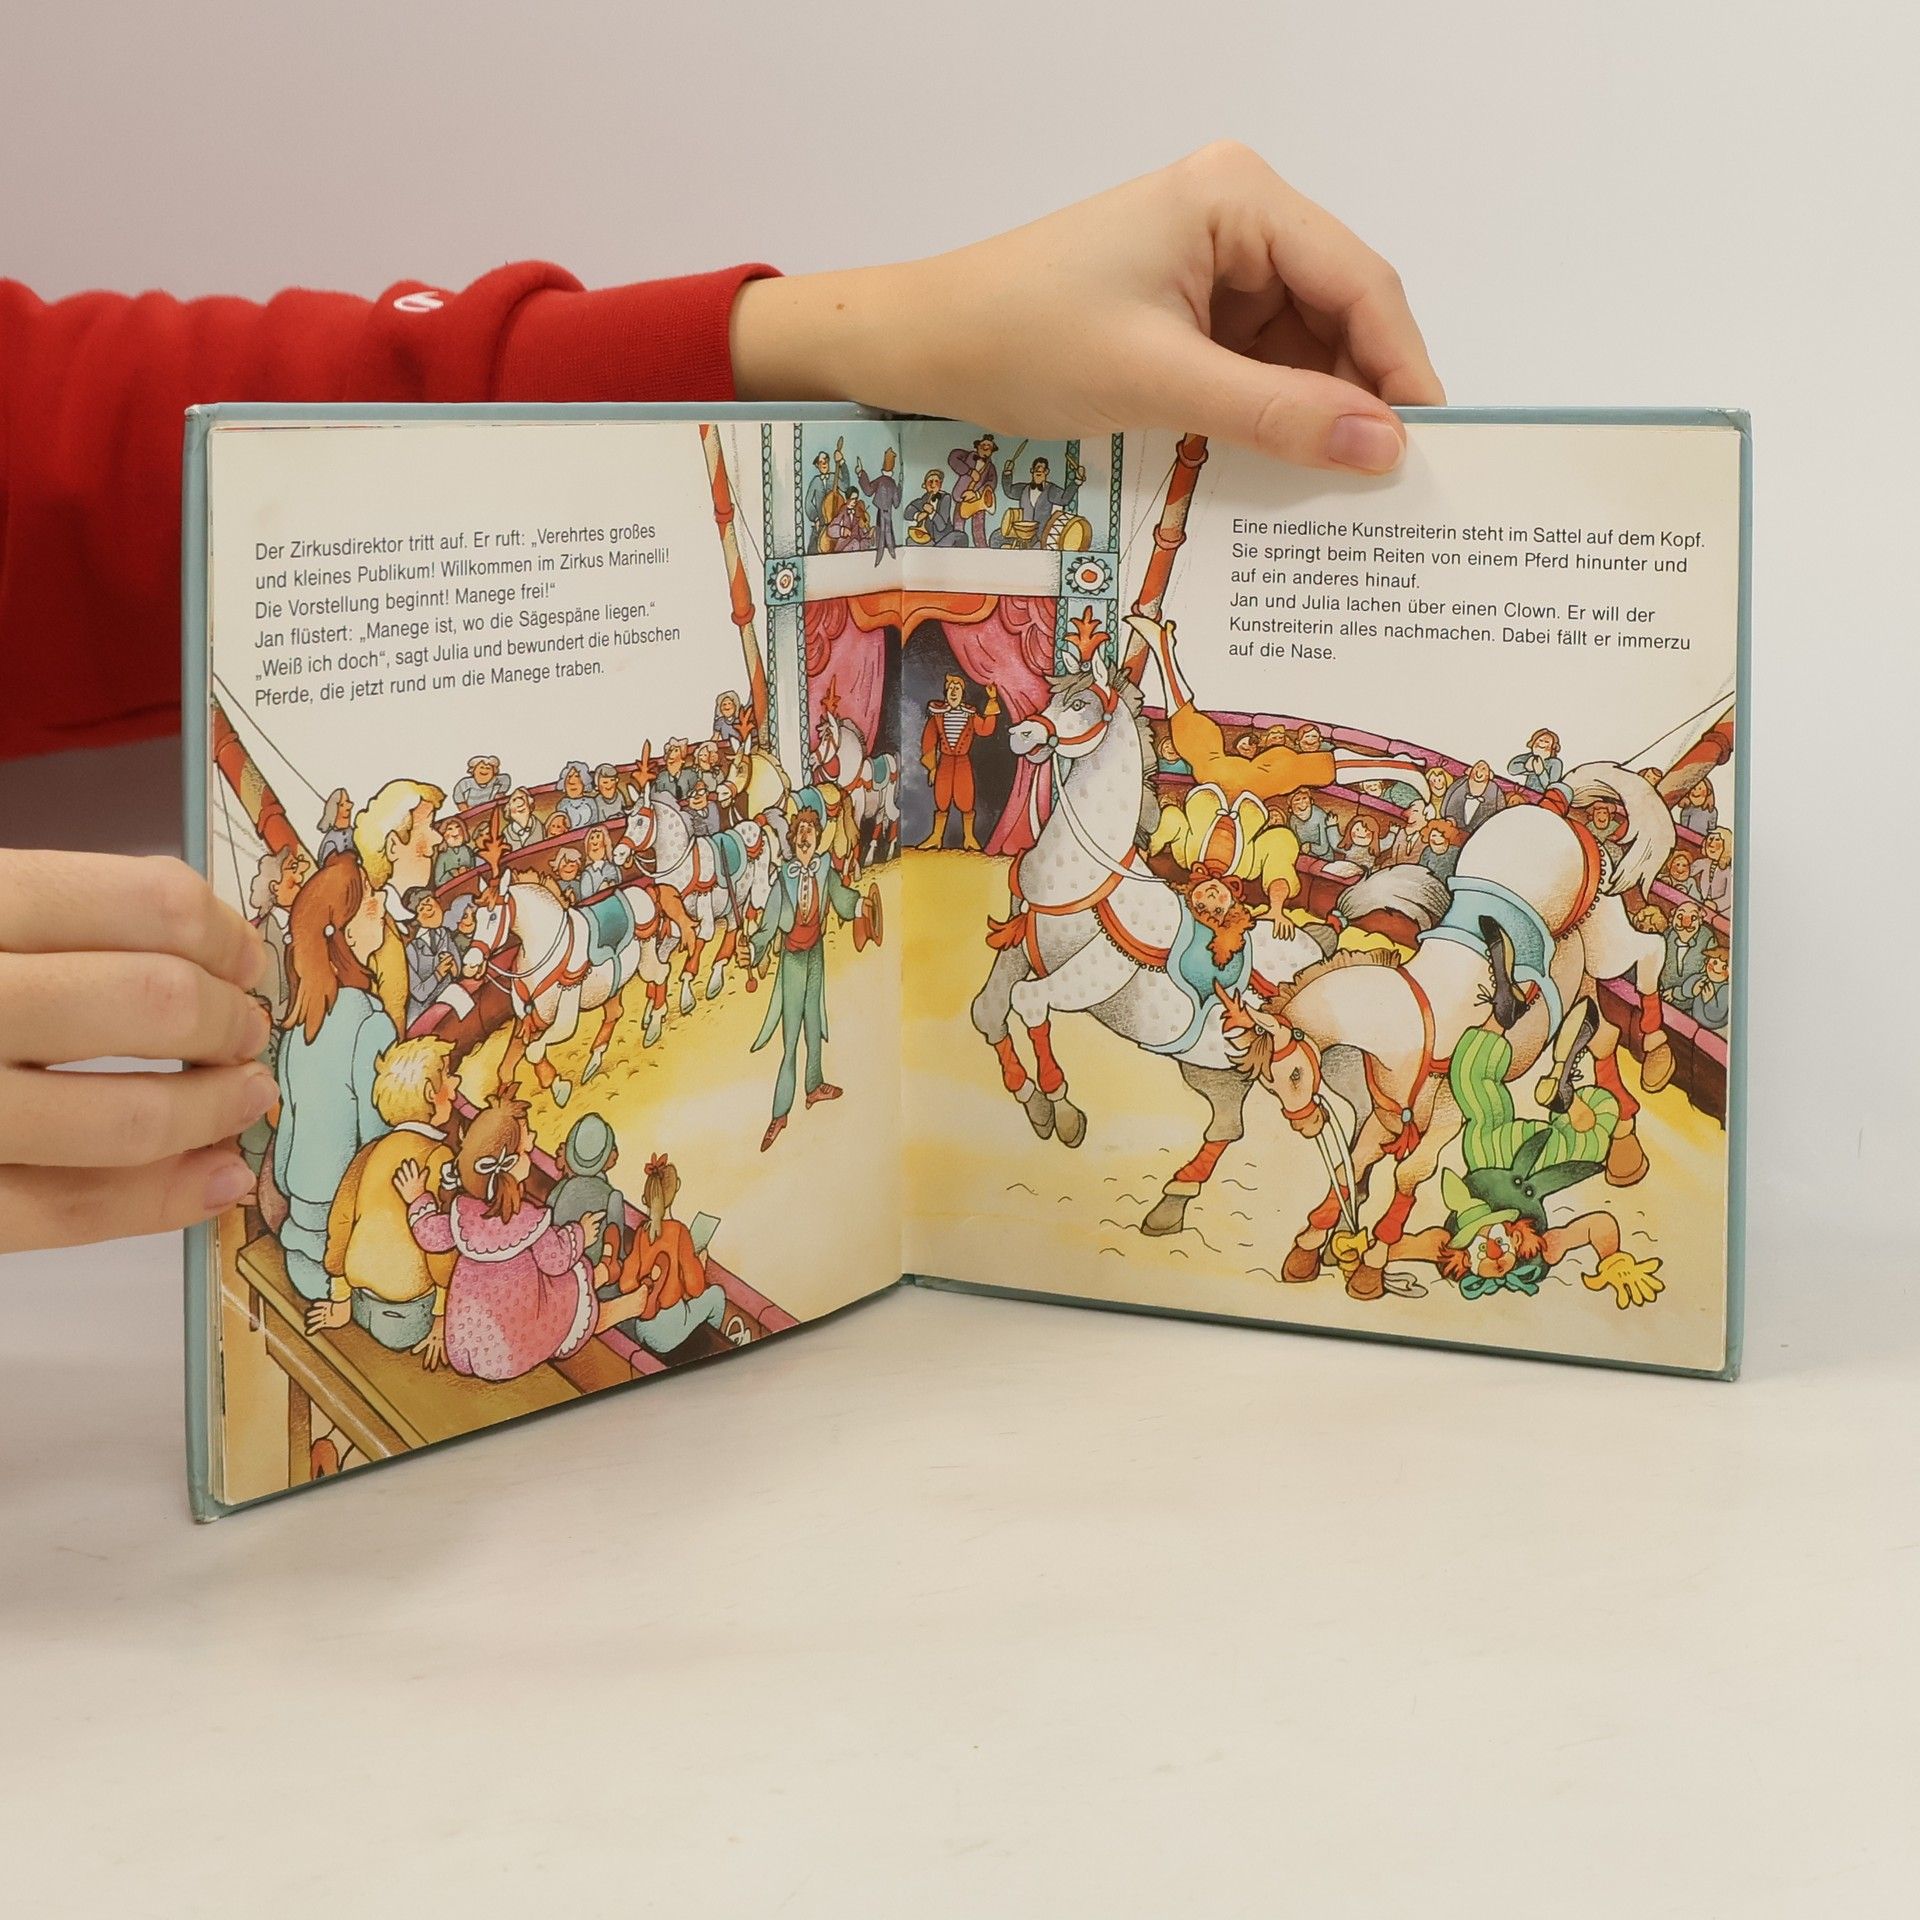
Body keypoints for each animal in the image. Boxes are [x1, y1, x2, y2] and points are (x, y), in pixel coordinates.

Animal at [464, 871, 693, 1107]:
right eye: (476, 918)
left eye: (493, 916)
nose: (470, 964)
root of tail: (646, 891)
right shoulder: (527, 1020)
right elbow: (507, 1067)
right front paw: (501, 1101)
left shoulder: (564, 1018)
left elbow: (534, 1051)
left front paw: (559, 1088)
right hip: (612, 984)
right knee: (615, 1012)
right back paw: (595, 1060)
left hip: (645, 956)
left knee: (660, 973)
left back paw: (655, 1024)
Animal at [1221, 763, 1676, 1298]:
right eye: (1268, 1082)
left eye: (1292, 1074)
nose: (1305, 1125)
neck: (1410, 1019)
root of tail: (1554, 804)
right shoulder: (1387, 1114)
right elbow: (1353, 1162)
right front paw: (1308, 1249)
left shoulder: (1446, 1117)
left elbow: (1408, 1175)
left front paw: (1371, 1265)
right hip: (1579, 975)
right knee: (1601, 1035)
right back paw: (1623, 1145)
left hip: (1605, 936)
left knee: (1649, 952)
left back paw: (1657, 1056)